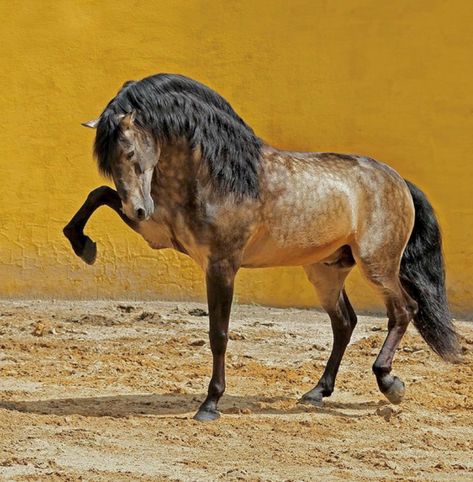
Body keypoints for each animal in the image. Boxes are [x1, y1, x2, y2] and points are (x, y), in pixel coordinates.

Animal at [62, 72, 458, 422]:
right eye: (106, 159)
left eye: (129, 151)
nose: (138, 208)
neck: (220, 176)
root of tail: (398, 180)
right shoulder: (158, 233)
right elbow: (100, 194)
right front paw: (83, 245)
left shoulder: (221, 265)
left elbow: (218, 333)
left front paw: (210, 405)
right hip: (326, 271)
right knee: (345, 322)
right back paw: (317, 391)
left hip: (378, 265)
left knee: (404, 311)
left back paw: (390, 383)